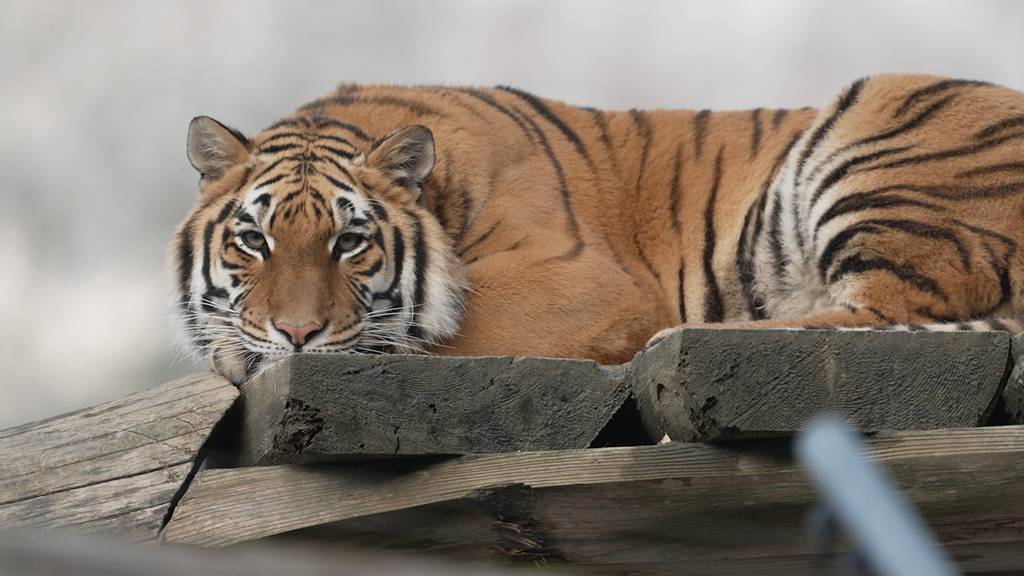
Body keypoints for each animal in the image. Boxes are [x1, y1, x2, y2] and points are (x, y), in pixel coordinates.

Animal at [172, 73, 1024, 383]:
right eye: (253, 241)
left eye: (350, 243)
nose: (296, 335)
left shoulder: (586, 283)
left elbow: (441, 329)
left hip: (880, 131)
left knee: (890, 308)